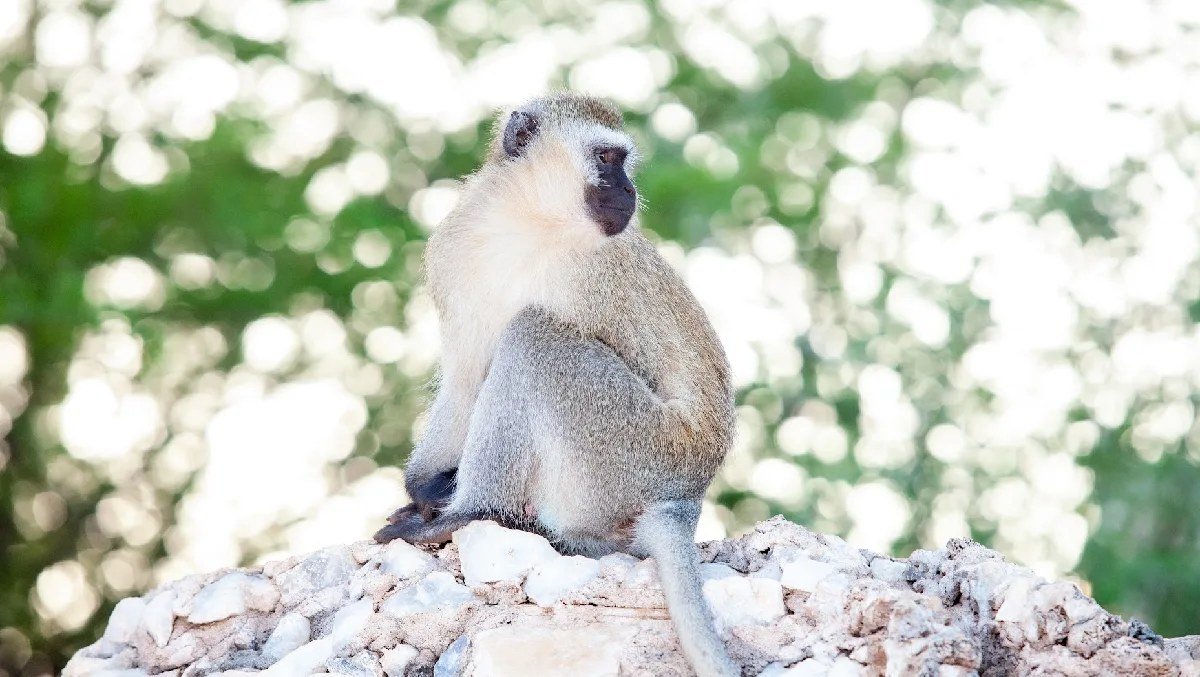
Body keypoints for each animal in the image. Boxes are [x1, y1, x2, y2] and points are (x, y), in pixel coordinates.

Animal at [373, 93, 737, 677]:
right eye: (608, 159)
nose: (629, 191)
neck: (528, 223)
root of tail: (686, 496)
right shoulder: (453, 249)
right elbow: (466, 374)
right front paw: (425, 485)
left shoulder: (601, 273)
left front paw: (448, 503)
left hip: (633, 453)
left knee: (534, 336)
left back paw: (475, 512)